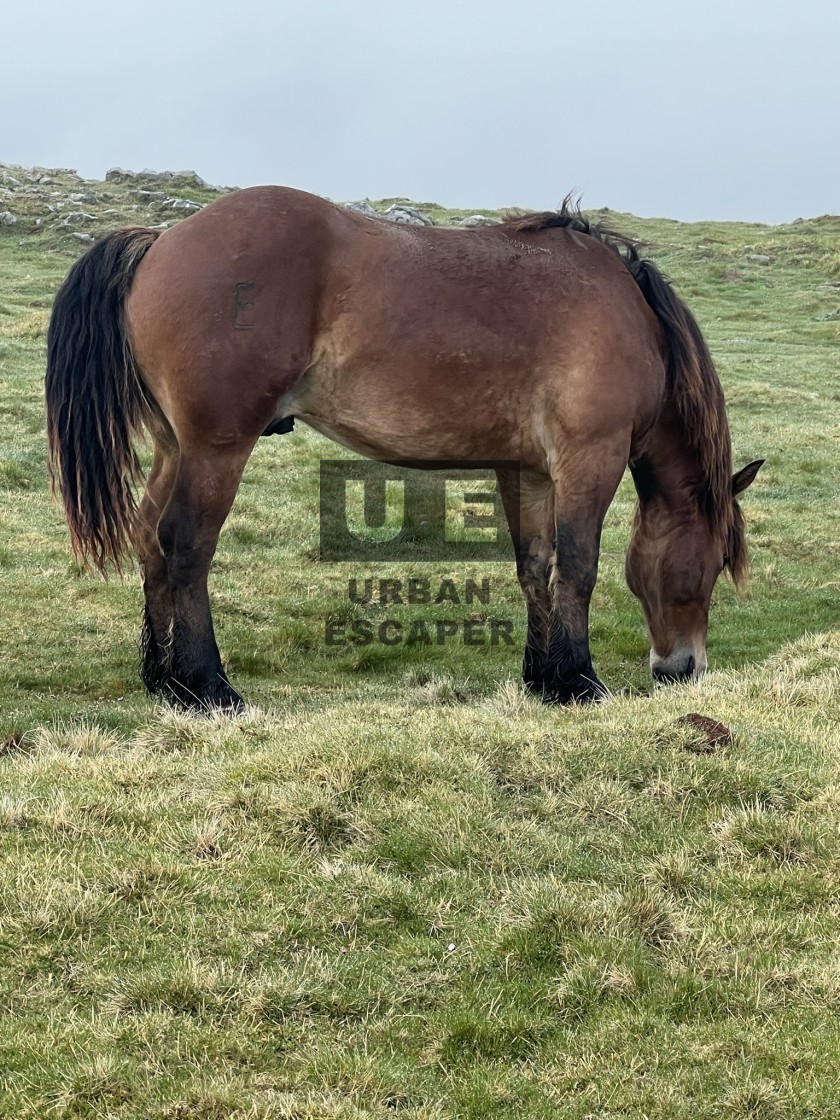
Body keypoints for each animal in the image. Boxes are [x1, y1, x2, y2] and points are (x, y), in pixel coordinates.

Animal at [49, 183, 766, 707]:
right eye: (709, 567)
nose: (683, 669)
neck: (630, 319)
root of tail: (161, 241)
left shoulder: (527, 470)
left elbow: (535, 567)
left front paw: (542, 678)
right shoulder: (590, 458)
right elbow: (579, 566)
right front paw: (579, 681)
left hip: (175, 447)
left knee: (149, 538)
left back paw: (161, 678)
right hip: (215, 449)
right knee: (186, 545)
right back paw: (205, 686)